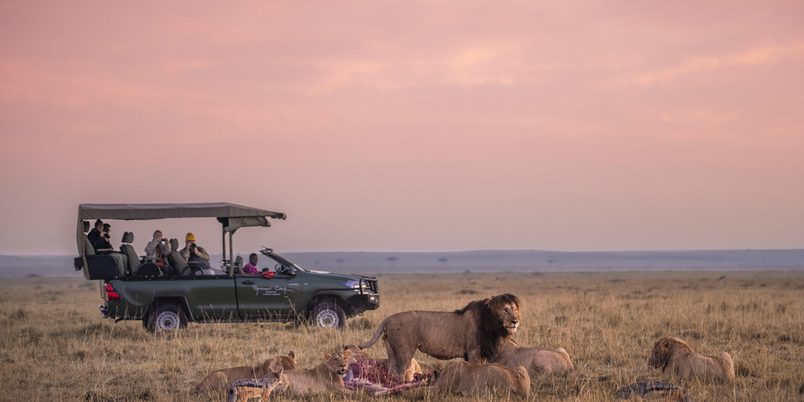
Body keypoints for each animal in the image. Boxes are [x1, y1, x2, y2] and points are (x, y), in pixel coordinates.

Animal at [358, 294, 521, 379]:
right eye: (505, 310)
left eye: (515, 310)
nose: (515, 321)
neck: (492, 325)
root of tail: (388, 318)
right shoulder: (474, 351)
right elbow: (476, 369)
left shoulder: (477, 354)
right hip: (404, 351)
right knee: (401, 372)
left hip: (391, 351)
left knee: (392, 372)